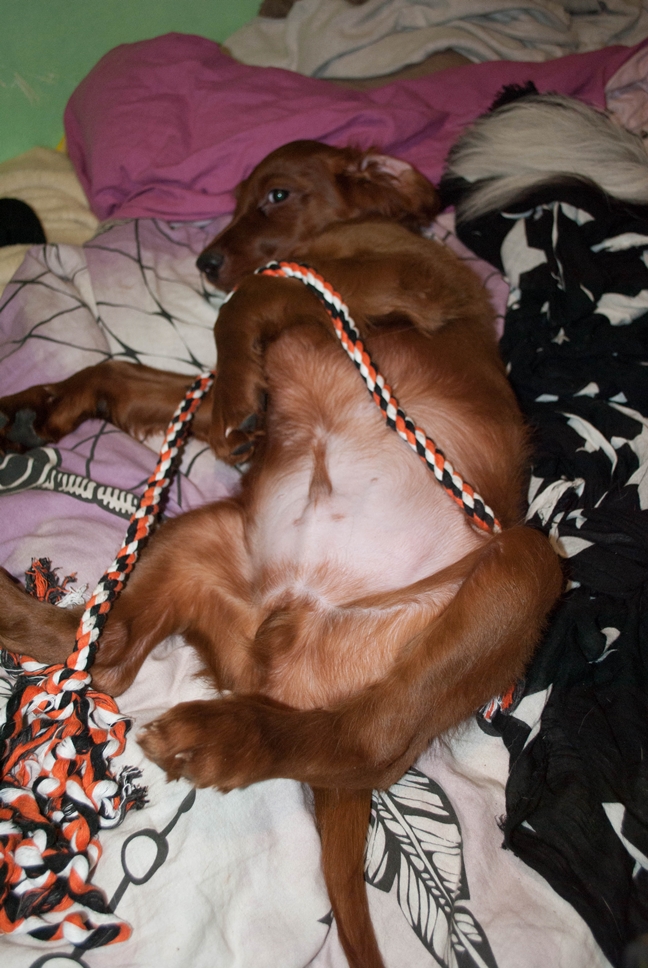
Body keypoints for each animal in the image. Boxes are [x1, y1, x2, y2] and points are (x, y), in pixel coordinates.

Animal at [0, 140, 562, 968]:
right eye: (235, 200)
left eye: (276, 194)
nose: (205, 260)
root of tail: (288, 652)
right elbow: (128, 373)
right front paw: (34, 410)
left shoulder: (403, 280)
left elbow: (248, 299)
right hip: (198, 539)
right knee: (108, 649)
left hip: (522, 569)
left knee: (369, 740)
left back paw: (222, 738)